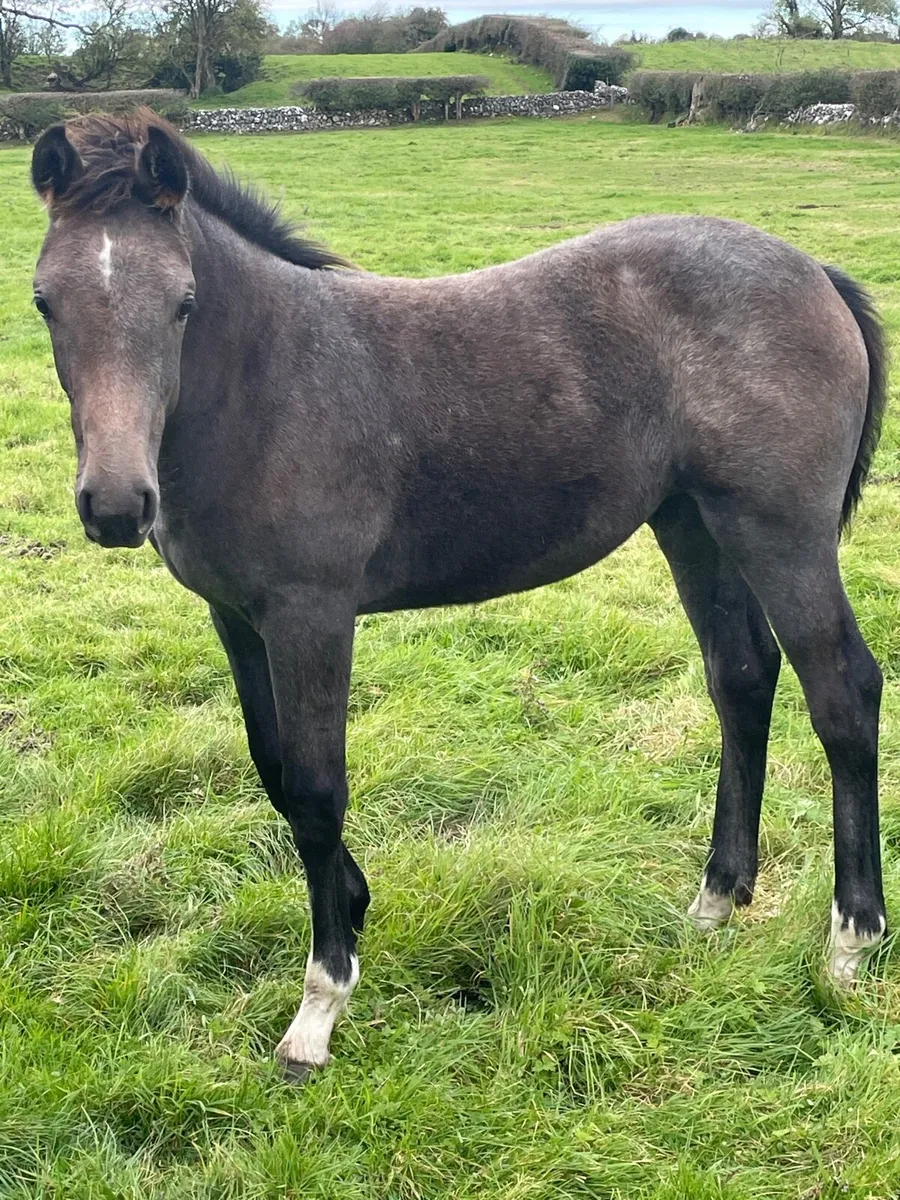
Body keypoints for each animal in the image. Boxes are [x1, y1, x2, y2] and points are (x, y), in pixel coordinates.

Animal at [30, 111, 888, 1079]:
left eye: (181, 301)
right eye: (46, 301)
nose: (114, 505)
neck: (266, 383)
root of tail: (815, 272)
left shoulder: (311, 614)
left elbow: (317, 788)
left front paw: (322, 1001)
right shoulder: (235, 619)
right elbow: (275, 772)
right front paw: (355, 902)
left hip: (780, 533)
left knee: (842, 693)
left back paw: (850, 942)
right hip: (694, 521)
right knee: (740, 679)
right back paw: (714, 901)